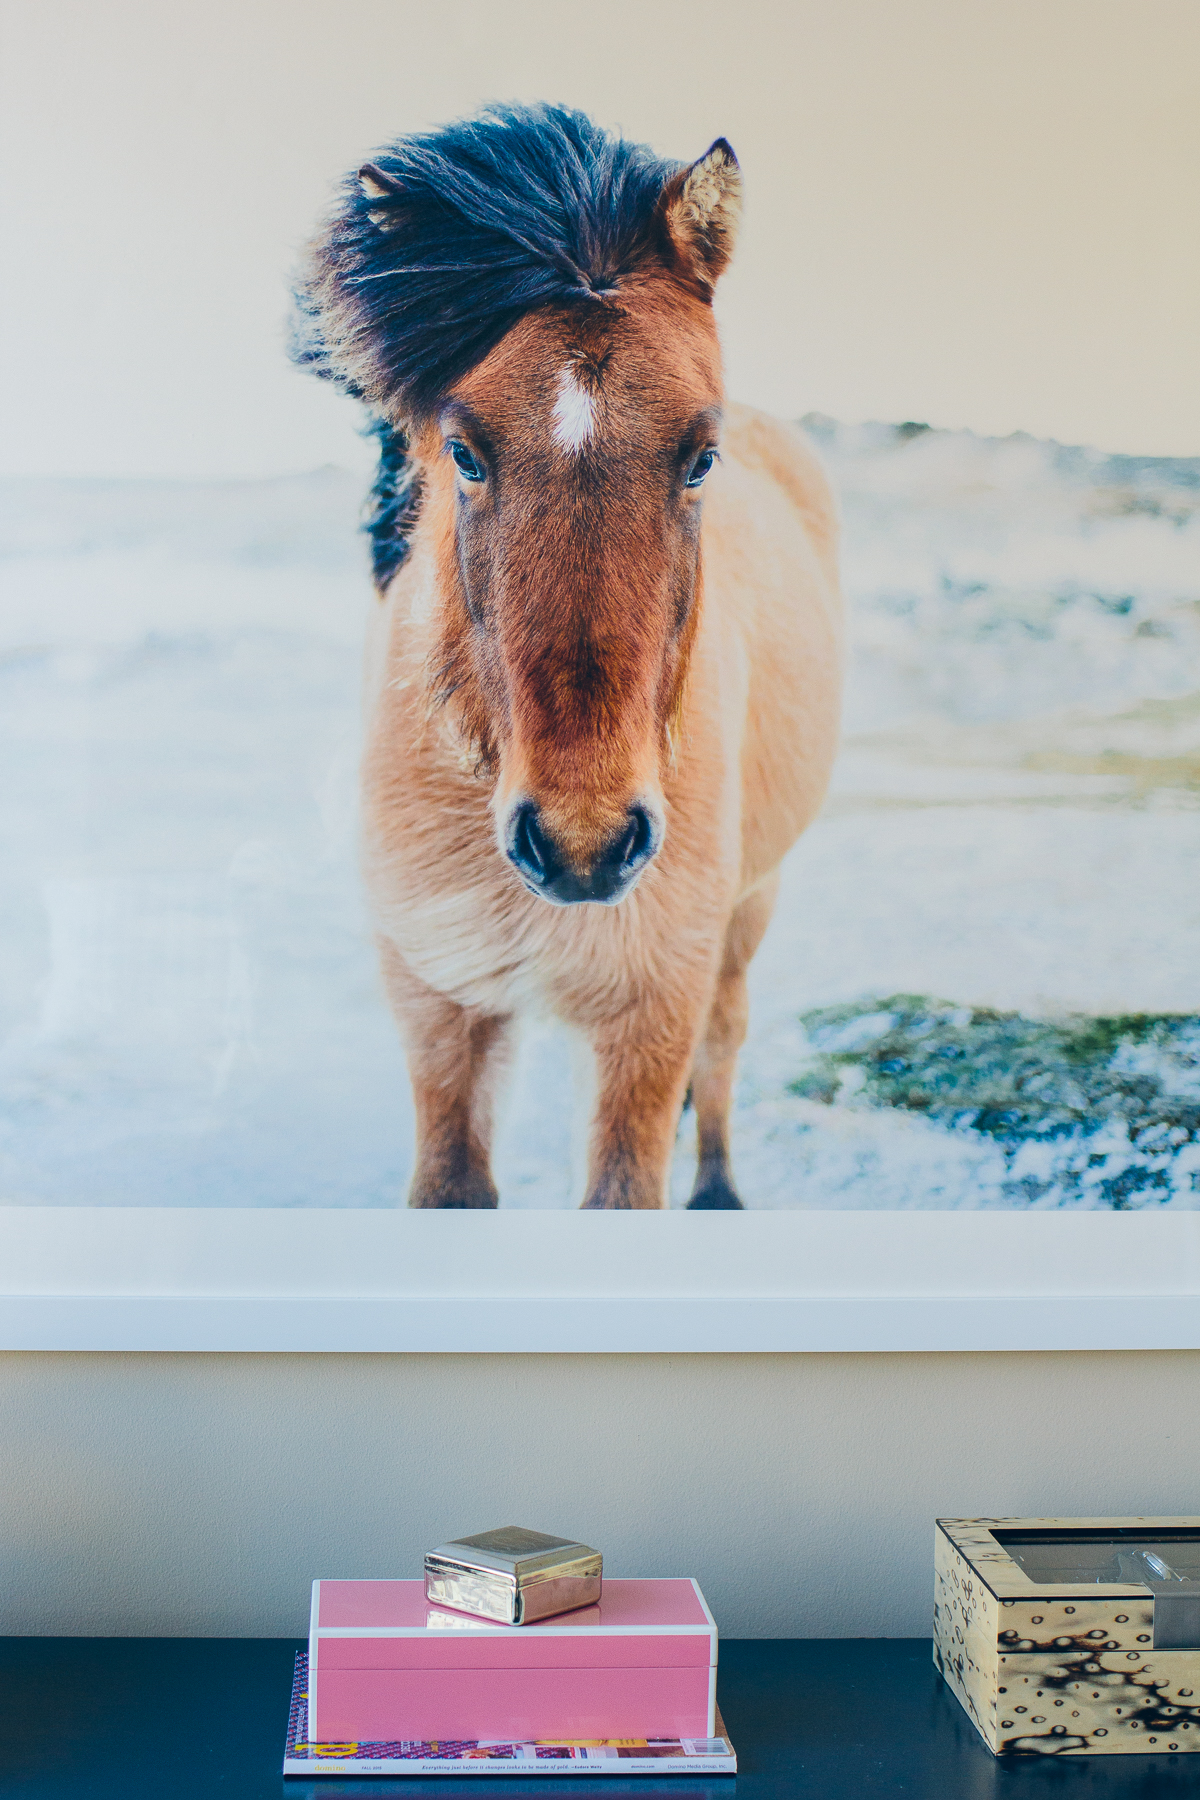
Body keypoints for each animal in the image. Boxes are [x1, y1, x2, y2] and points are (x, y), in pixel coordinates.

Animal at [294, 103, 842, 1209]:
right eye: (463, 451)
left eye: (701, 457)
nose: (583, 844)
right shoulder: (441, 1017)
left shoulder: (652, 1019)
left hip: (746, 914)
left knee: (724, 1044)